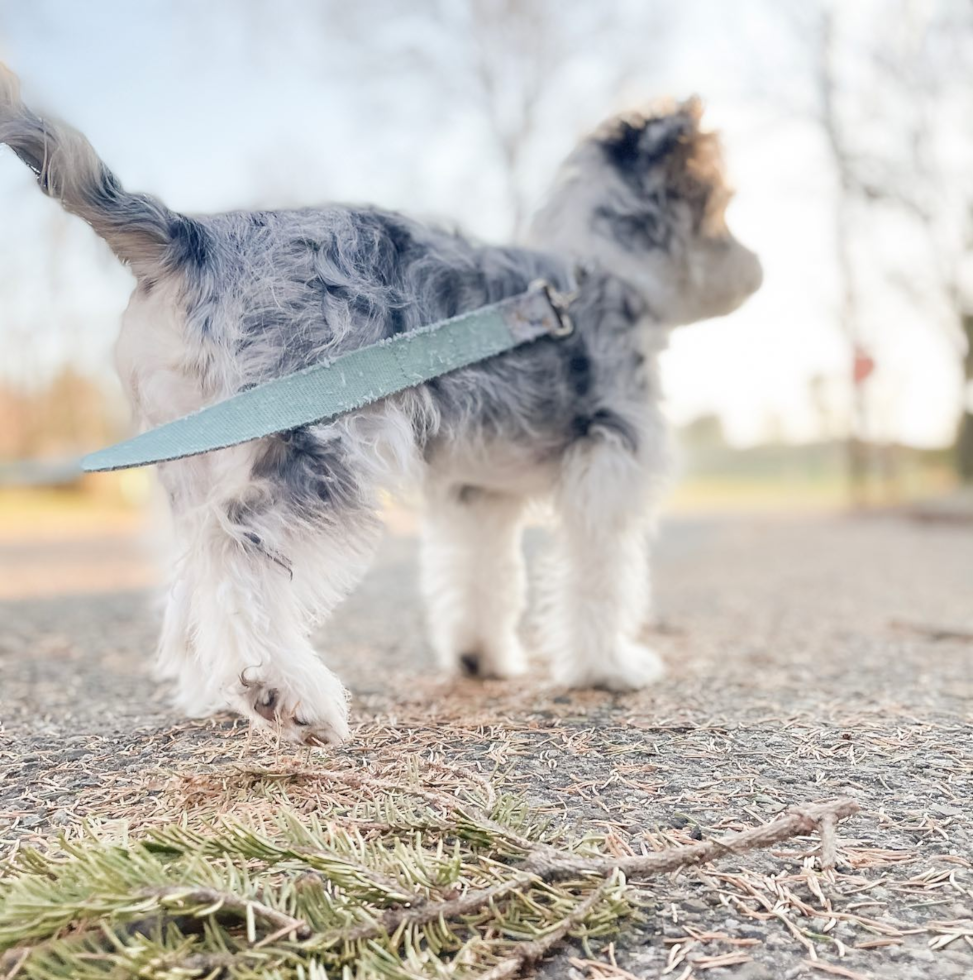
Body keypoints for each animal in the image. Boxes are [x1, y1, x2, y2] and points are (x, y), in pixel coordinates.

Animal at [0, 67, 760, 744]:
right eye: (722, 205)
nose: (758, 273)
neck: (596, 273)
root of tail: (192, 236)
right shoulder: (609, 466)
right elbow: (603, 576)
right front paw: (608, 667)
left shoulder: (476, 492)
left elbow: (482, 576)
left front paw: (481, 658)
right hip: (317, 446)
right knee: (235, 545)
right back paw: (285, 691)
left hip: (195, 454)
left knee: (193, 570)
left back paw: (218, 690)